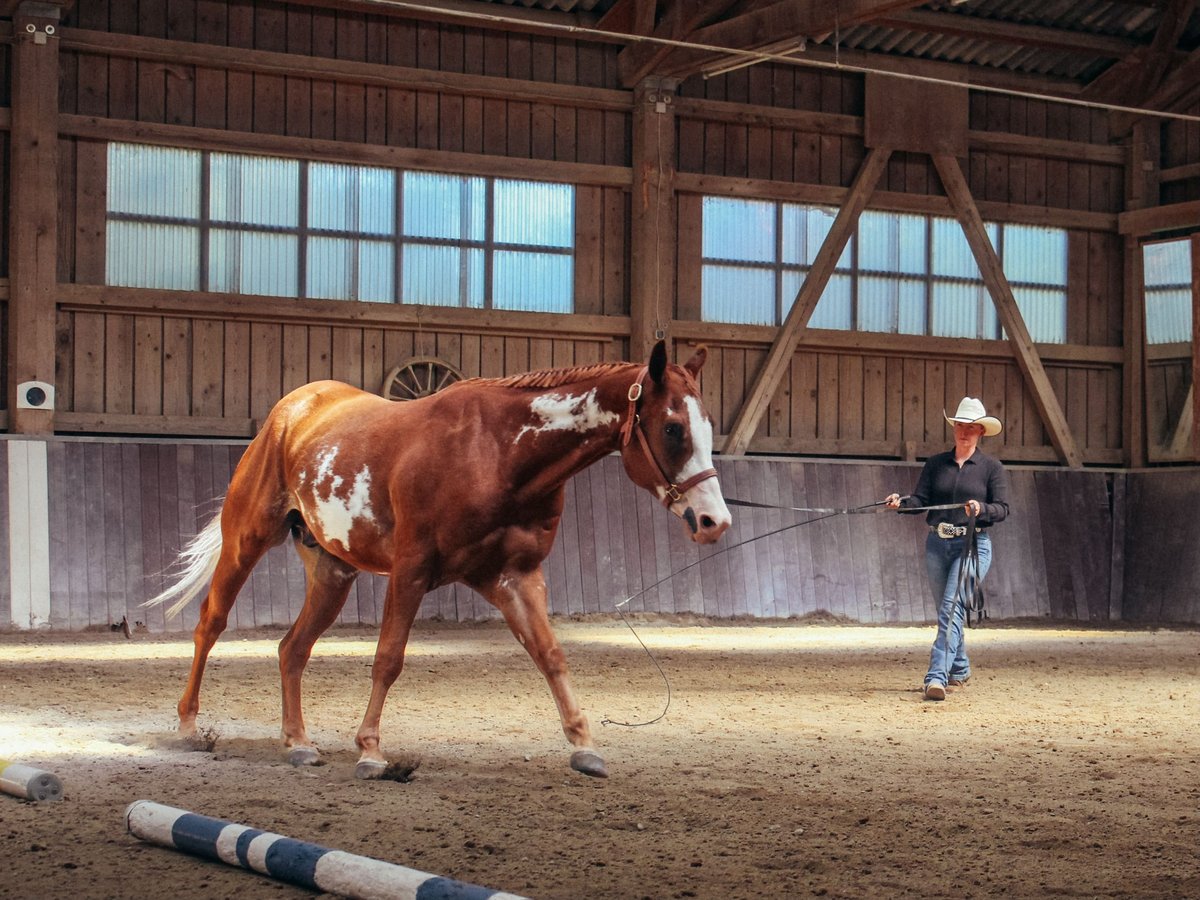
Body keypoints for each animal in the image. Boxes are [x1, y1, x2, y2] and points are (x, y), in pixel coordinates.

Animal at [145, 340, 731, 779]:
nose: (714, 521)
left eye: (706, 428)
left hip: (333, 572)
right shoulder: (411, 570)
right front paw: (371, 750)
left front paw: (584, 745)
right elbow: (388, 659)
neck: (496, 451)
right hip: (246, 540)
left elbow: (551, 656)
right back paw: (189, 728)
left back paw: (298, 743)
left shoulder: (514, 577)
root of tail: (291, 411)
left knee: (292, 649)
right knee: (210, 623)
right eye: (673, 428)